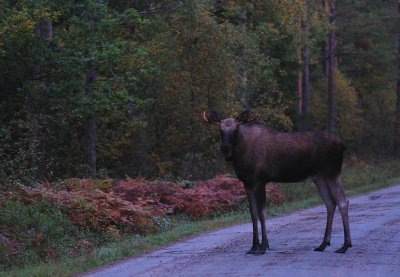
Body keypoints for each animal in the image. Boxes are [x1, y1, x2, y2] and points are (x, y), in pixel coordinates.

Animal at [202, 109, 352, 254]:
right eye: (220, 129)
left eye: (236, 129)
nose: (226, 149)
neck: (241, 154)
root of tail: (343, 145)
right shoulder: (247, 183)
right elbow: (253, 213)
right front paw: (253, 246)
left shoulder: (260, 181)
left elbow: (262, 213)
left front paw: (263, 247)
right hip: (319, 177)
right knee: (330, 203)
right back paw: (323, 244)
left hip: (332, 173)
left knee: (342, 202)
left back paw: (345, 245)